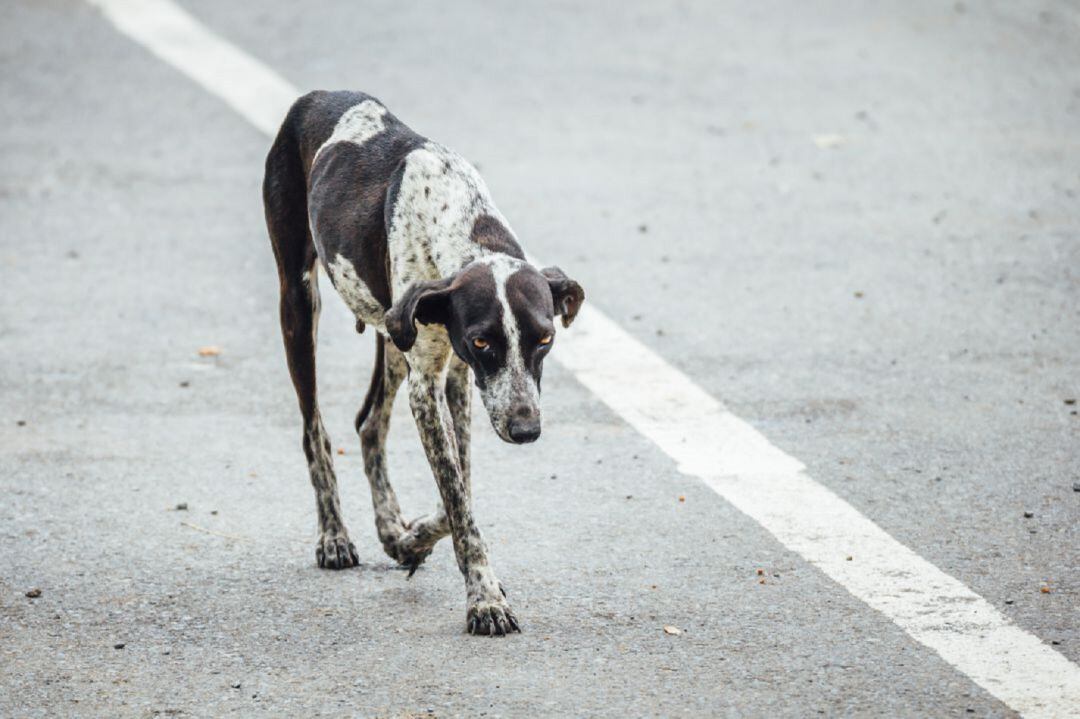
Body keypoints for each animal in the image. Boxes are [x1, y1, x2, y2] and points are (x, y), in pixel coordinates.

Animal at [259, 91, 583, 634]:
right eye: (482, 341)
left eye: (545, 338)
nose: (525, 430)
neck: (462, 221)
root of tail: (316, 96)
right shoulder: (428, 384)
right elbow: (457, 497)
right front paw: (484, 597)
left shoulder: (457, 379)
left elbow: (459, 490)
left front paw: (412, 538)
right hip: (300, 304)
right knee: (315, 431)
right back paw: (334, 535)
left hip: (392, 335)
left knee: (369, 422)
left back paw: (390, 526)